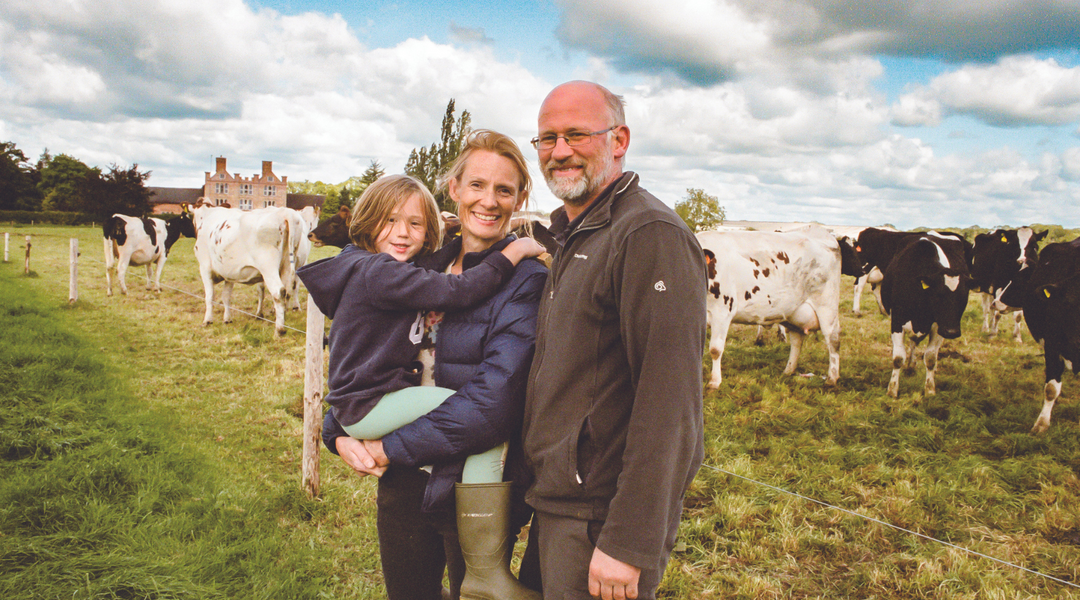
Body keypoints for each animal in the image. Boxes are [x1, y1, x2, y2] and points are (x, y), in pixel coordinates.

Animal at [699, 224, 842, 388]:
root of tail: (820, 232)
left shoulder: (722, 311)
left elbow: (715, 349)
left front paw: (714, 382)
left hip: (827, 306)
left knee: (833, 339)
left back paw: (832, 378)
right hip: (794, 312)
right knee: (797, 340)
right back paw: (788, 371)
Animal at [876, 234, 972, 399]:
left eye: (963, 297)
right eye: (939, 294)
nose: (951, 332)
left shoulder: (939, 326)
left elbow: (931, 358)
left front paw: (930, 390)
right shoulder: (897, 320)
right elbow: (898, 358)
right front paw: (892, 390)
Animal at [993, 237, 1080, 431]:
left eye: (1017, 280)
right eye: (1066, 304)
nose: (995, 301)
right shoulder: (1052, 345)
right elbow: (1051, 389)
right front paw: (1041, 424)